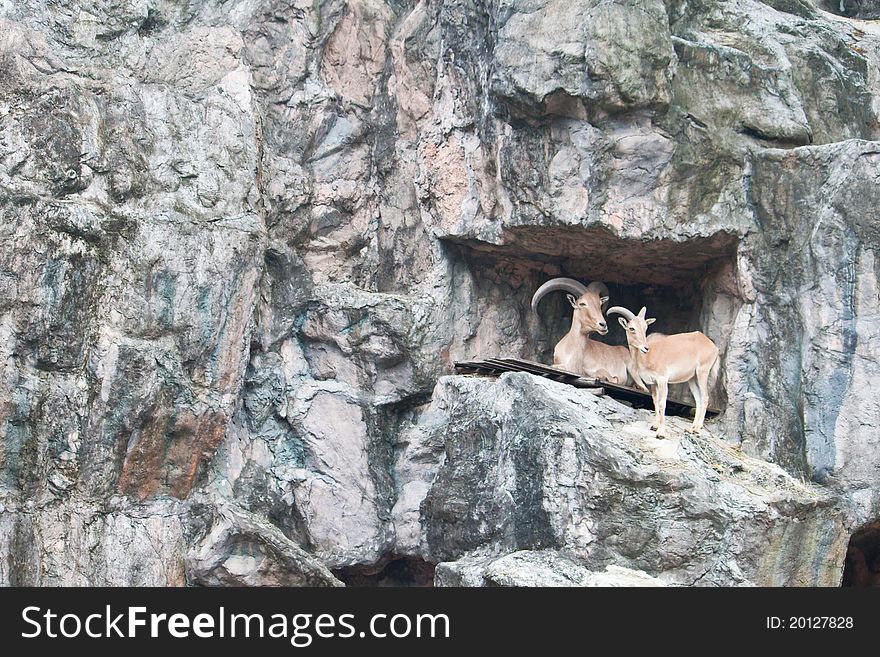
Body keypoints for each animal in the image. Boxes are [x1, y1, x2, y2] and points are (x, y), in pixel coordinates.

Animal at [608, 304, 720, 438]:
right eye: (632, 328)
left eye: (645, 328)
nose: (645, 348)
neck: (647, 357)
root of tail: (714, 347)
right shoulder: (653, 382)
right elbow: (655, 401)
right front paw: (654, 425)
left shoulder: (662, 379)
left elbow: (662, 402)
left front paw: (660, 432)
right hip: (692, 378)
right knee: (698, 399)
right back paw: (691, 428)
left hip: (702, 371)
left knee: (705, 397)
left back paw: (697, 429)